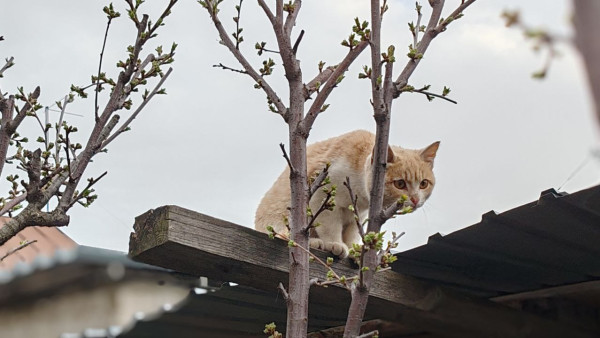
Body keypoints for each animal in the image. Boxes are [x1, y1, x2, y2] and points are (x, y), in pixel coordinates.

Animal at [255, 131, 438, 258]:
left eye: (423, 184)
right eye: (400, 184)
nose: (415, 199)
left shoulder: (358, 214)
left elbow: (353, 233)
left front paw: (353, 250)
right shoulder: (321, 196)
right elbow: (330, 226)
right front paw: (335, 244)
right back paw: (315, 243)